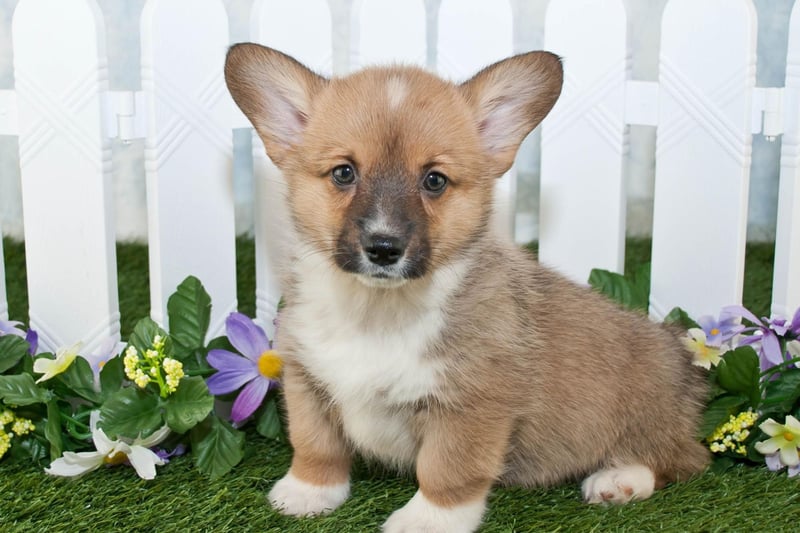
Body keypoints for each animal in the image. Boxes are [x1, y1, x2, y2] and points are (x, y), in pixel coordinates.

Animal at [223, 43, 708, 528]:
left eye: (434, 180)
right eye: (344, 173)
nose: (383, 248)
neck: (377, 312)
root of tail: (680, 352)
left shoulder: (470, 405)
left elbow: (447, 471)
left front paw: (426, 521)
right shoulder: (307, 380)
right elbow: (315, 446)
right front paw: (307, 492)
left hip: (647, 413)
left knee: (680, 459)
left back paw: (618, 481)